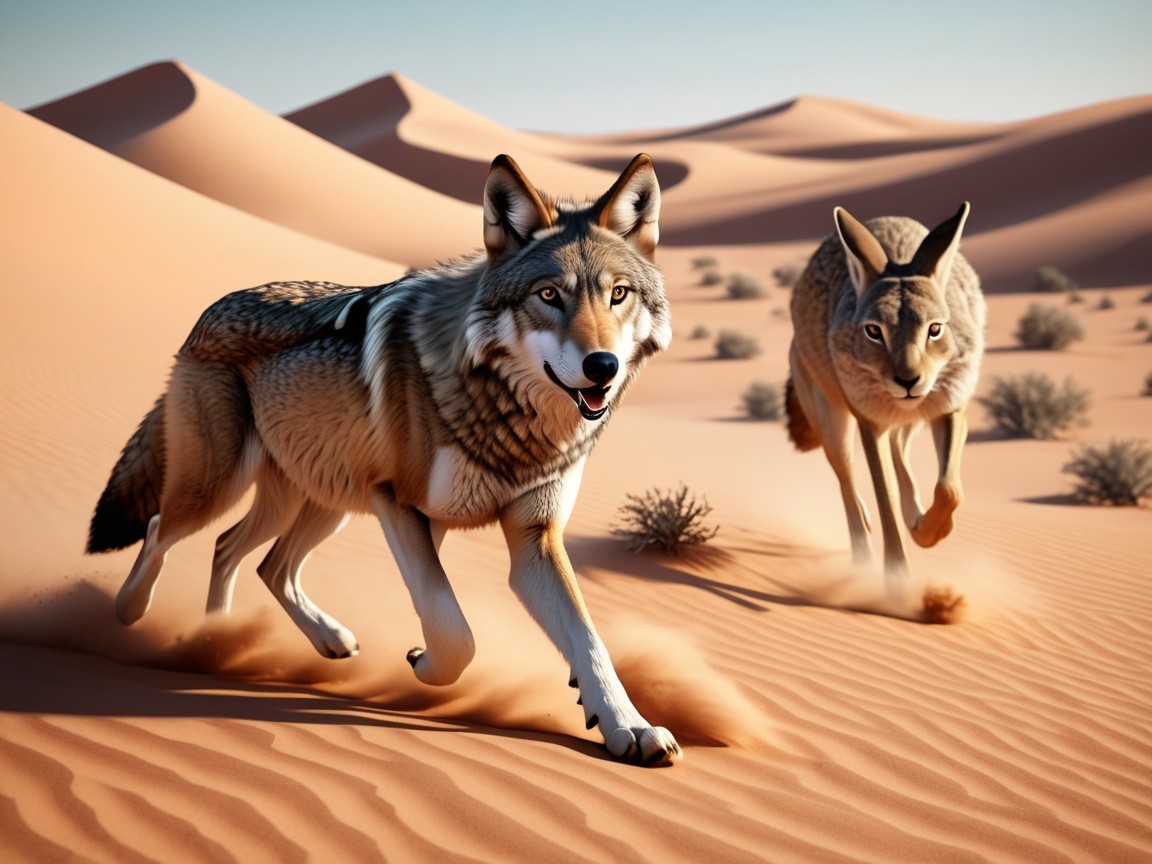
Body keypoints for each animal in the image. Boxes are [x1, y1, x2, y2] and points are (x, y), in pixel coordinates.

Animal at [87, 154, 681, 764]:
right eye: (548, 296)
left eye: (618, 294)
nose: (603, 366)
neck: (506, 417)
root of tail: (208, 310)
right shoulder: (401, 506)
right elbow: (454, 630)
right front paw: (424, 664)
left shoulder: (530, 536)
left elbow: (588, 640)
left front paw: (628, 725)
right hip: (222, 486)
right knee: (164, 529)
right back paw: (137, 614)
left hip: (321, 503)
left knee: (248, 557)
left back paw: (227, 641)